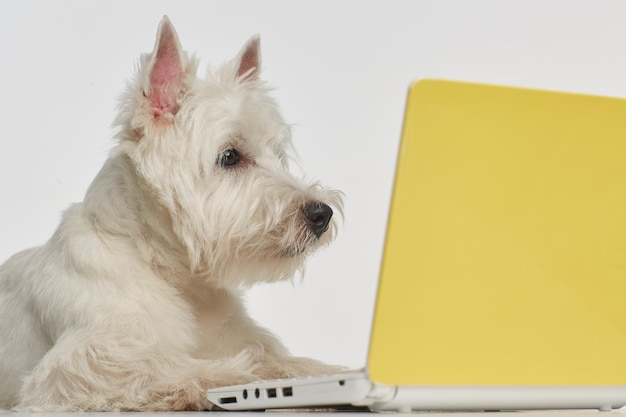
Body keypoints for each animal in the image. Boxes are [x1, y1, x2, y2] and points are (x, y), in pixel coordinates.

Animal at [0, 15, 342, 410]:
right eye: (230, 156)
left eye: (279, 155)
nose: (322, 214)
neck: (168, 268)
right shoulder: (80, 361)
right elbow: (173, 366)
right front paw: (245, 375)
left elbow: (283, 359)